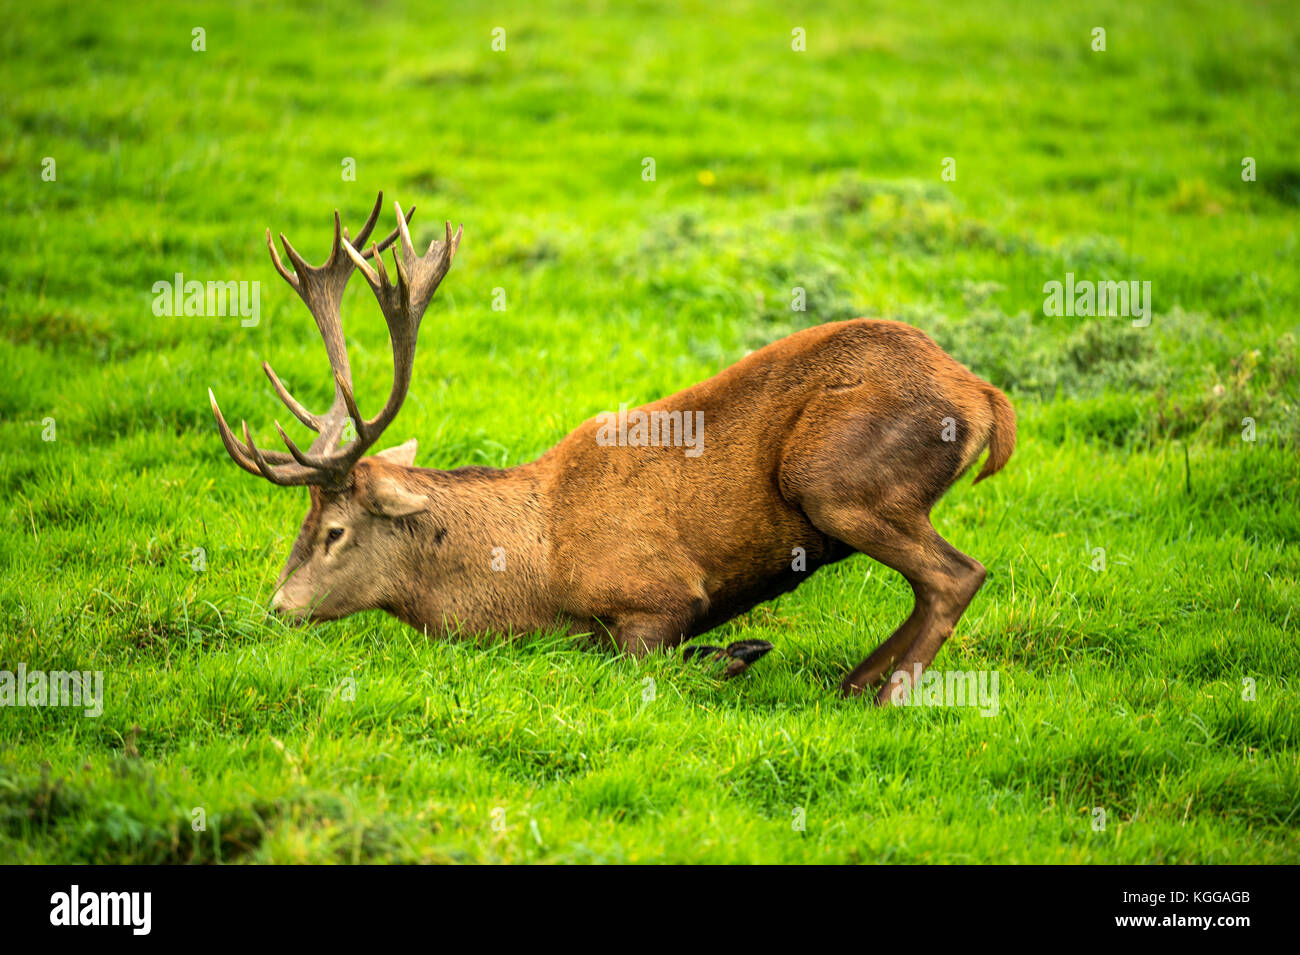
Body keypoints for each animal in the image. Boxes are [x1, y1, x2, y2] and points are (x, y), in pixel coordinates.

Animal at [208, 194, 1015, 706]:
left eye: (333, 531)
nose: (277, 608)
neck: (531, 570)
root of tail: (986, 399)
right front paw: (740, 655)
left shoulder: (658, 596)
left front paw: (734, 656)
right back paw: (848, 686)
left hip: (830, 478)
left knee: (956, 574)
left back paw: (883, 699)